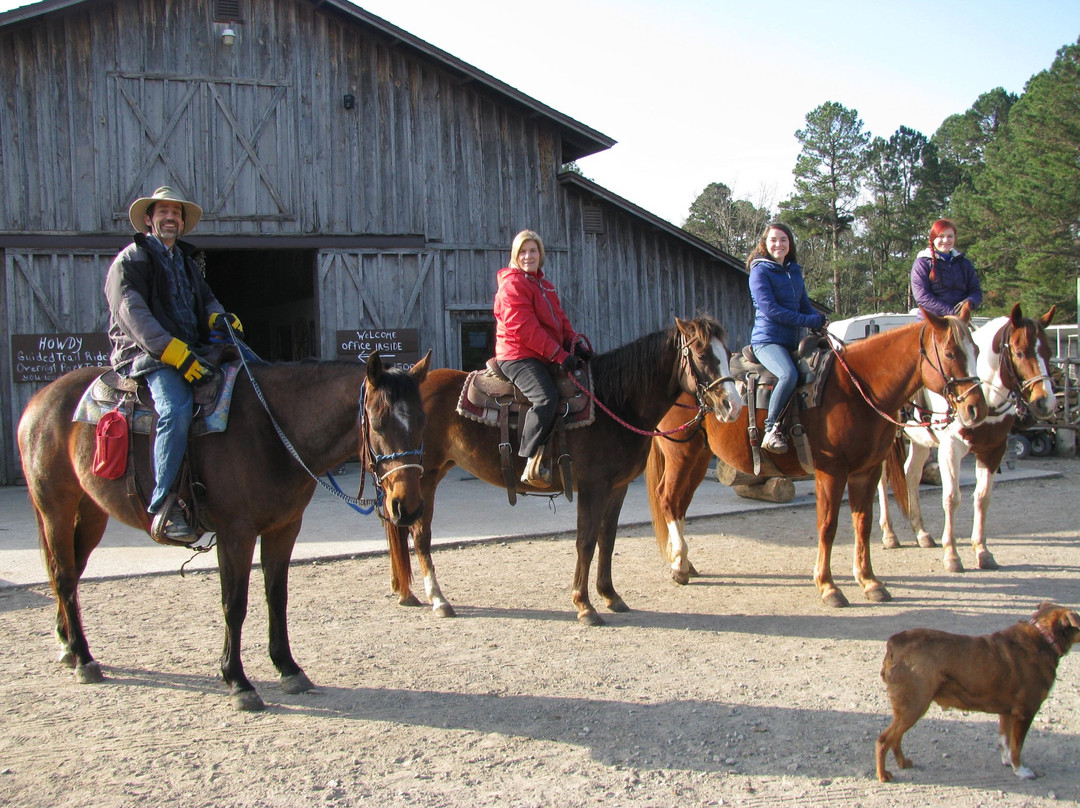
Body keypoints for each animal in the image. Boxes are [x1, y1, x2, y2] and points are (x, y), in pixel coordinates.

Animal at [16, 349, 429, 708]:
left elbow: (276, 596)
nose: (406, 506)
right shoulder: (236, 534)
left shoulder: (284, 528)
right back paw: (84, 658)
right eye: (378, 423)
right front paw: (238, 680)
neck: (270, 431)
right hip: (55, 507)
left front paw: (287, 668)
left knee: (69, 574)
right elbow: (235, 603)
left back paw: (68, 647)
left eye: (422, 422)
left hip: (91, 512)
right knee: (62, 575)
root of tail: (41, 399)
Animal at [384, 315, 747, 626]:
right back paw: (438, 599)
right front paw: (584, 605)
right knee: (419, 534)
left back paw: (407, 592)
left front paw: (610, 595)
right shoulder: (592, 487)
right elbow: (585, 541)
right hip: (423, 476)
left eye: (727, 353)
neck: (615, 403)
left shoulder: (617, 488)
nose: (733, 407)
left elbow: (607, 539)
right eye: (701, 354)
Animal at [643, 306, 989, 604]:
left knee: (680, 503)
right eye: (950, 353)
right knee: (669, 498)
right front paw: (828, 586)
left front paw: (869, 581)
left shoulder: (867, 472)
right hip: (681, 453)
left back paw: (684, 562)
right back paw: (679, 566)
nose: (977, 408)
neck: (857, 389)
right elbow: (828, 525)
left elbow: (863, 523)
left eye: (977, 350)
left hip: (699, 457)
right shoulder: (831, 472)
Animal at [876, 304, 1054, 574]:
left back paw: (922, 533)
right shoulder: (951, 449)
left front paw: (982, 551)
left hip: (919, 441)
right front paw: (952, 555)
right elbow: (952, 498)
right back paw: (889, 535)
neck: (987, 398)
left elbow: (982, 498)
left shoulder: (993, 450)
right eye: (1020, 353)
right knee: (883, 479)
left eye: (1049, 352)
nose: (1046, 403)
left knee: (911, 474)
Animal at [876, 600, 1080, 782]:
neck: (1045, 637)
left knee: (896, 738)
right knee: (884, 740)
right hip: (914, 705)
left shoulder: (1007, 712)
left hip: (909, 707)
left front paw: (1006, 762)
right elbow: (1016, 747)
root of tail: (895, 642)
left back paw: (903, 763)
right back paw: (883, 775)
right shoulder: (1025, 712)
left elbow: (1005, 741)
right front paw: (1020, 770)